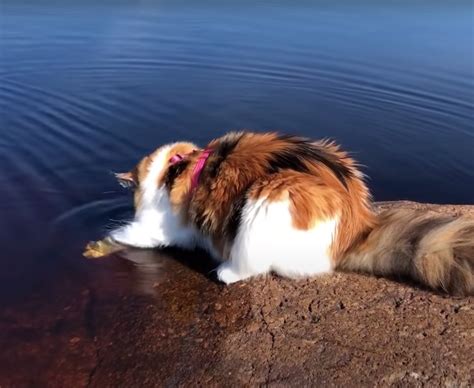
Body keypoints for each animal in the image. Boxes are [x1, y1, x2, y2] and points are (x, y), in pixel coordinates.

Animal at [83, 130, 472, 294]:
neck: (177, 167)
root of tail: (355, 231)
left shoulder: (157, 229)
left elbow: (123, 235)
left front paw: (95, 246)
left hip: (269, 195)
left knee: (251, 268)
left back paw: (225, 272)